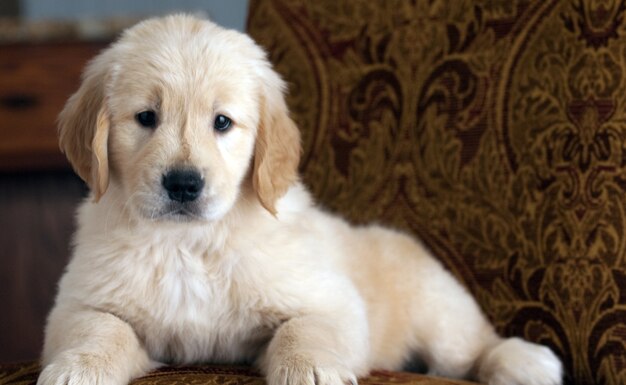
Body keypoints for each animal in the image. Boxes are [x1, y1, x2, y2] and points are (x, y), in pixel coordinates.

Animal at [37, 13, 560, 384]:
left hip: (439, 310)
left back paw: (525, 361)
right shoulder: (78, 304)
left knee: (474, 346)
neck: (190, 243)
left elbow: (304, 328)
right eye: (146, 117)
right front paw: (78, 368)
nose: (184, 184)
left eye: (222, 122)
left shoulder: (331, 302)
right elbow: (98, 328)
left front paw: (310, 369)